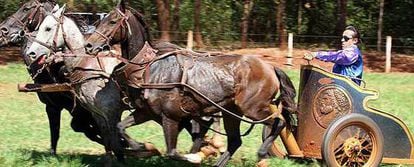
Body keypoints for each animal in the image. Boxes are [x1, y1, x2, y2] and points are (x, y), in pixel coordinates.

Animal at [85, 0, 298, 166]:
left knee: (279, 121)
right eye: (102, 19)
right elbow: (120, 126)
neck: (148, 68)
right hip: (232, 113)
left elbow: (172, 152)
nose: (89, 45)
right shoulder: (145, 112)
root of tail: (270, 67)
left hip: (252, 109)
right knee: (235, 141)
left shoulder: (170, 117)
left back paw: (262, 152)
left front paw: (196, 156)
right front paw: (142, 147)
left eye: (112, 21)